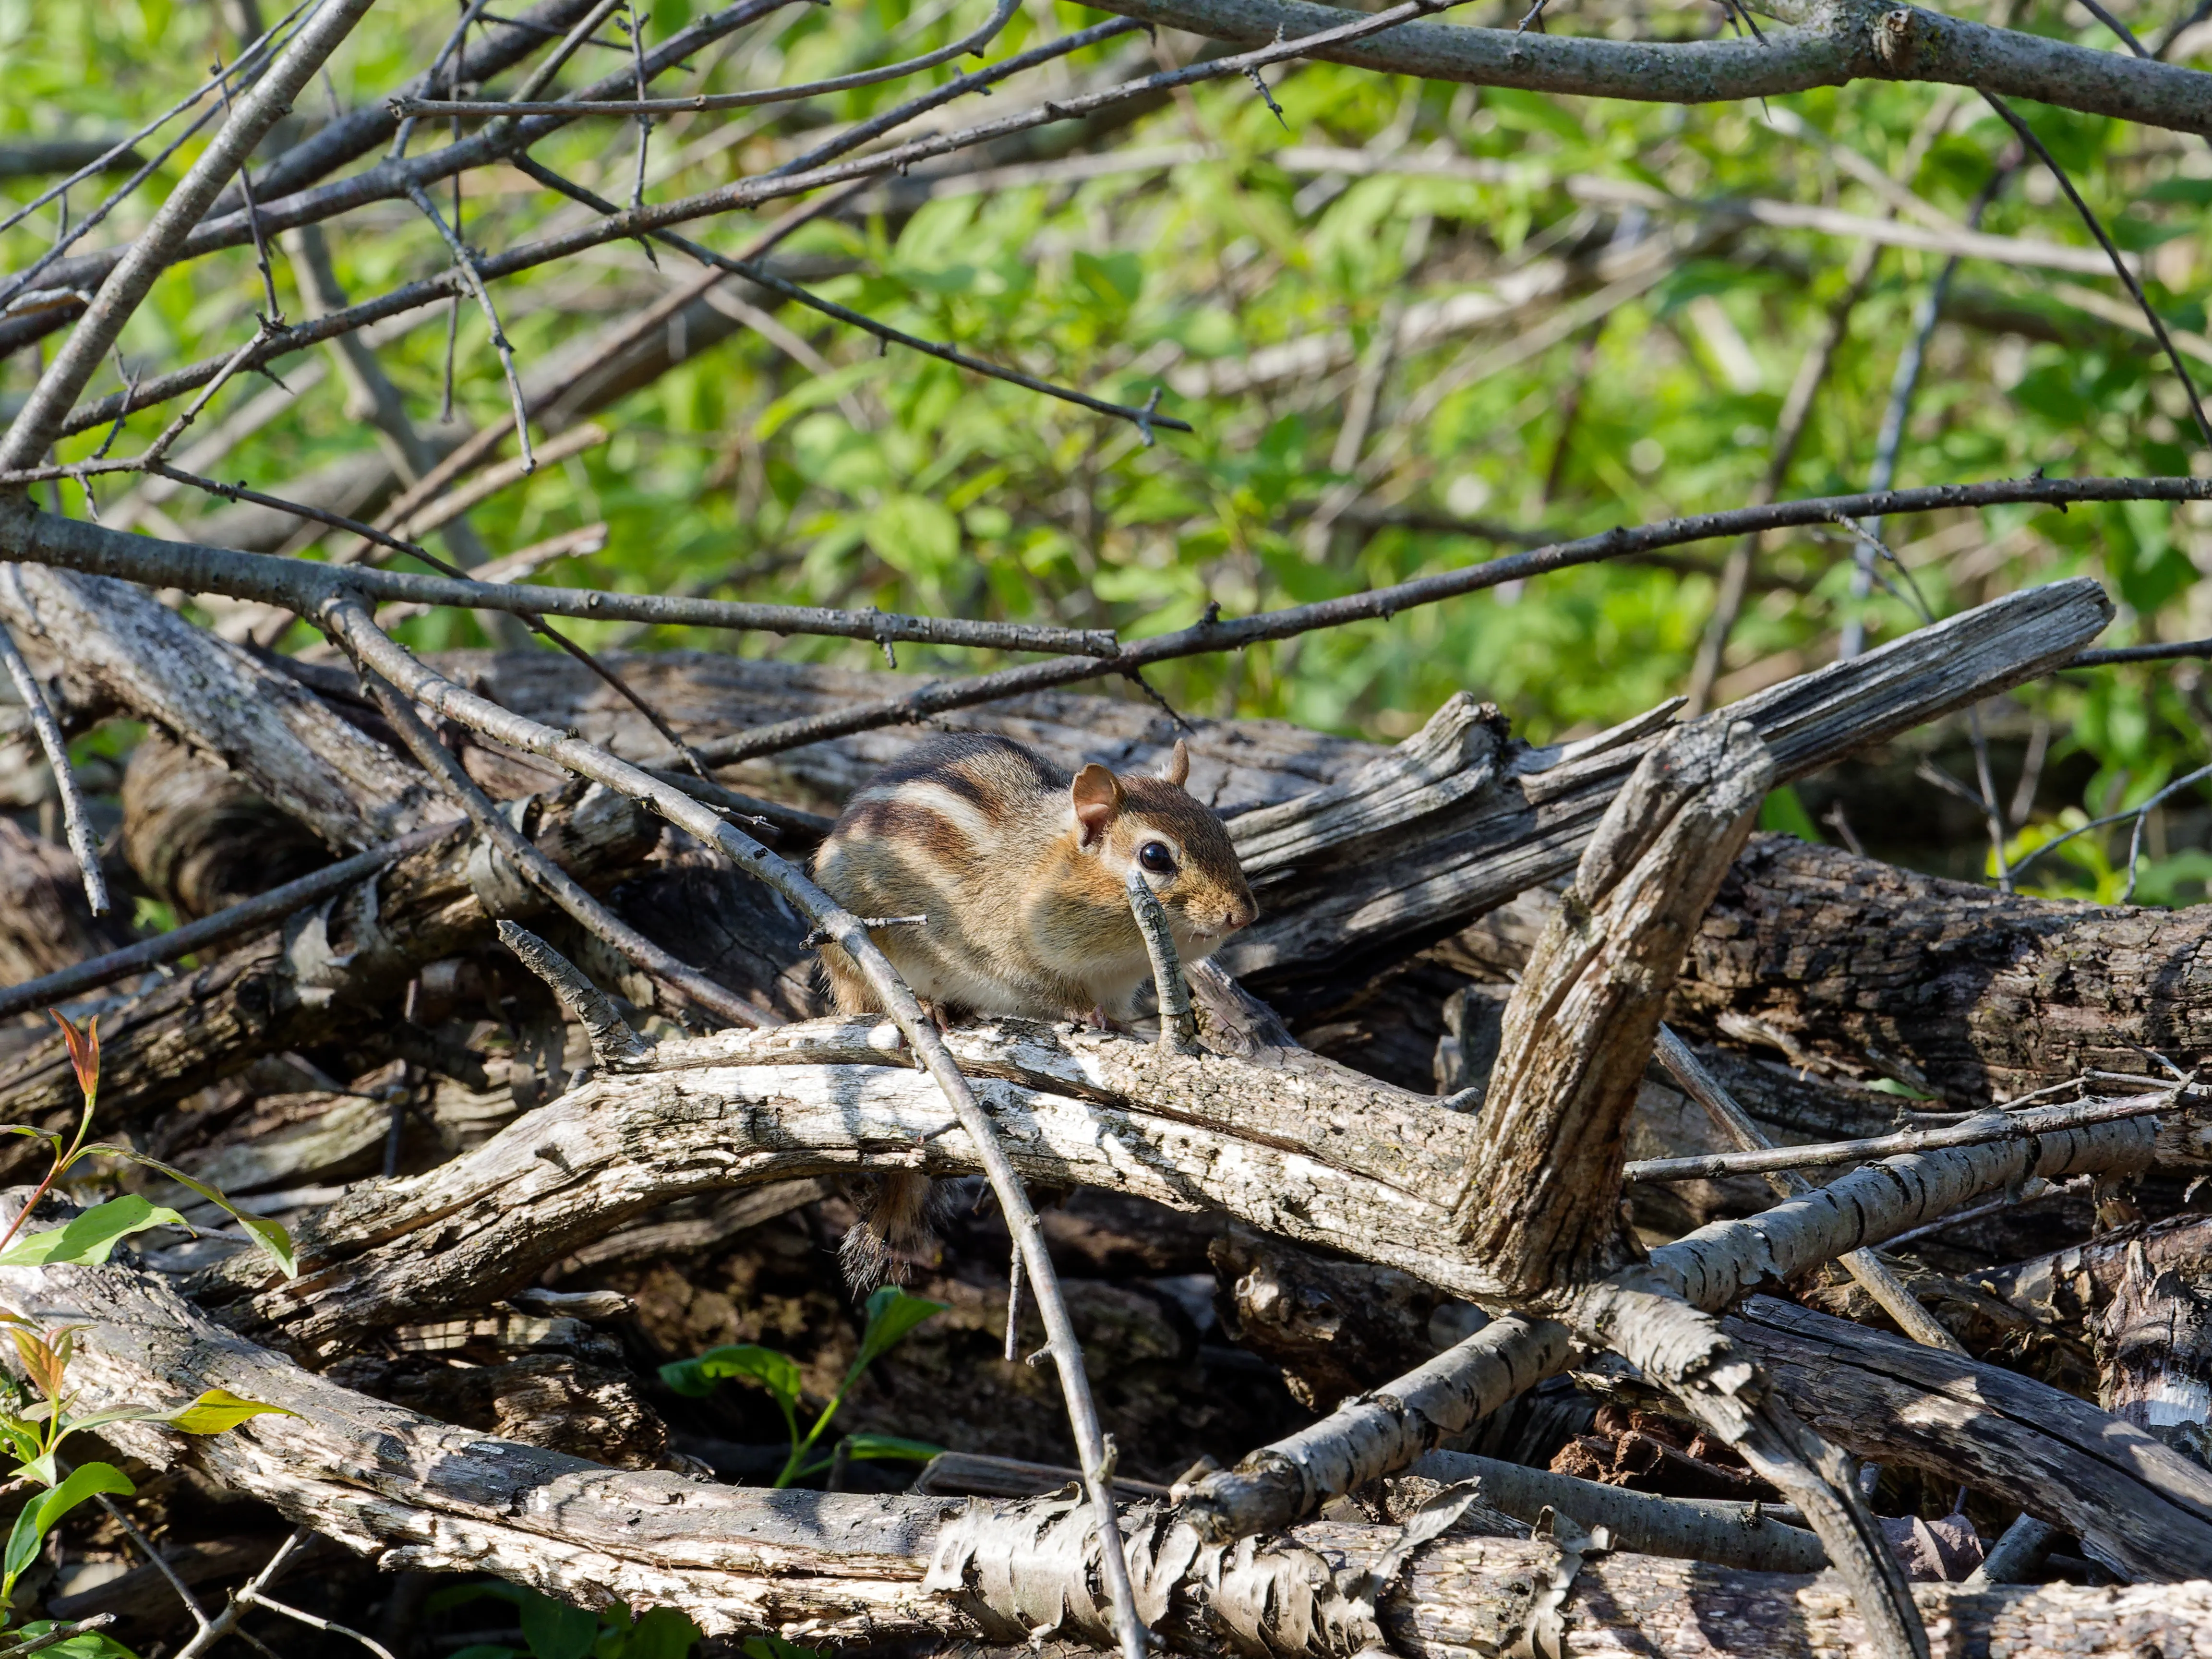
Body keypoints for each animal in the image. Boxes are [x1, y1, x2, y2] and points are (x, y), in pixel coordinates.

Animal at [810, 732, 1259, 1287]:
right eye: (1155, 856)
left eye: (1222, 830)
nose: (1245, 914)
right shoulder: (1005, 958)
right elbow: (1056, 997)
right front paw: (1089, 1017)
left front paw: (1125, 1026)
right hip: (856, 957)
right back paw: (928, 1007)